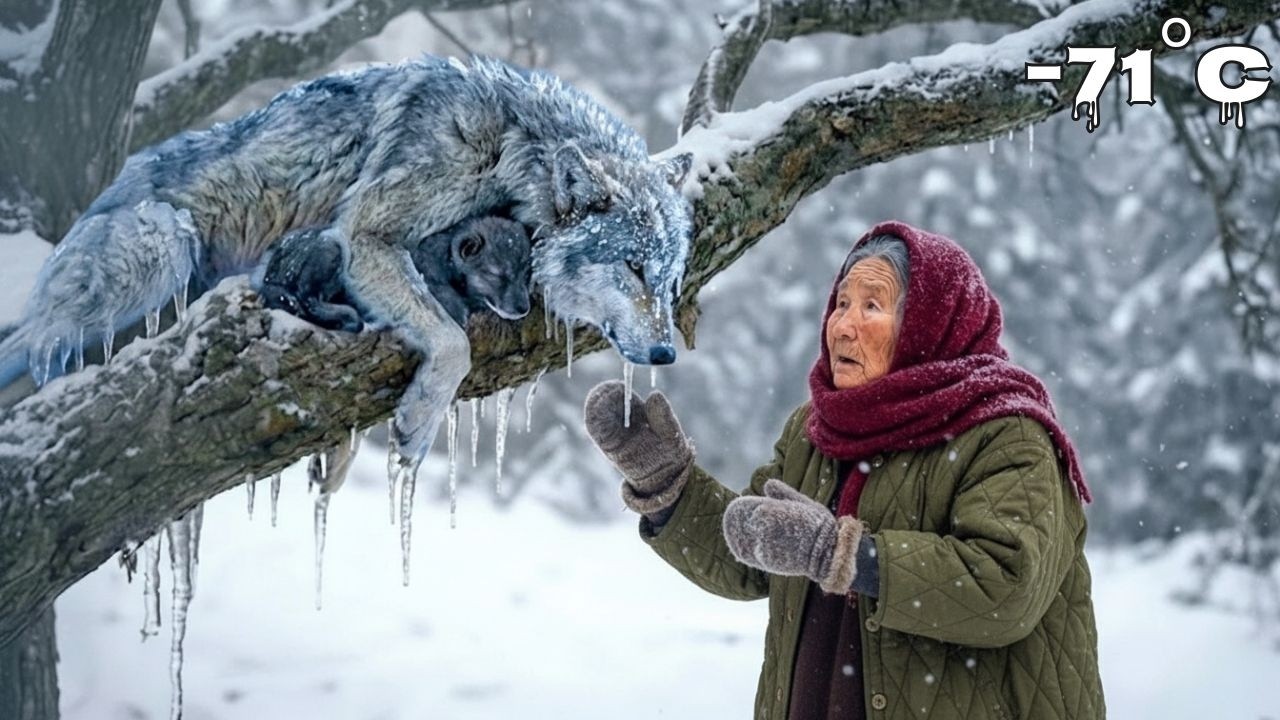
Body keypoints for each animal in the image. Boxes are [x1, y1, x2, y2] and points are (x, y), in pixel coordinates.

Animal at [0, 54, 694, 467]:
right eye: (631, 268)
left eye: (666, 280)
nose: (667, 354)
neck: (510, 144)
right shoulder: (365, 237)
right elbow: (453, 345)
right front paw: (417, 427)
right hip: (163, 246)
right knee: (36, 343)